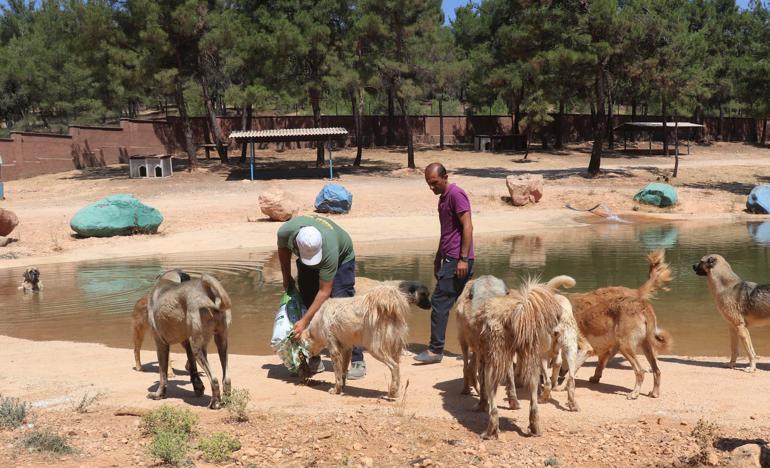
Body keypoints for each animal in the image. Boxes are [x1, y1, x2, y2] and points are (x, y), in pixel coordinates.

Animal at [146, 270, 231, 410]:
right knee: (226, 377)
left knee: (214, 379)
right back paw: (227, 400)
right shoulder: (187, 344)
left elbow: (163, 374)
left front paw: (159, 394)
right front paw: (198, 387)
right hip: (221, 342)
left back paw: (215, 403)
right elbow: (193, 368)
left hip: (198, 347)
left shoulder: (160, 343)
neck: (168, 280)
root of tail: (206, 290)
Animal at [472, 276, 560, 436]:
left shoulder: (485, 358)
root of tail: (516, 311)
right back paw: (535, 426)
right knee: (533, 396)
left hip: (493, 364)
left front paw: (481, 404)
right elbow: (511, 378)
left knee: (493, 405)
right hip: (531, 357)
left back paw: (490, 430)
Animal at [568, 250, 668, 400]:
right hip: (644, 346)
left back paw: (634, 393)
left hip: (625, 345)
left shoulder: (583, 349)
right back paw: (654, 393)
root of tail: (642, 304)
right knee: (657, 370)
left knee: (640, 371)